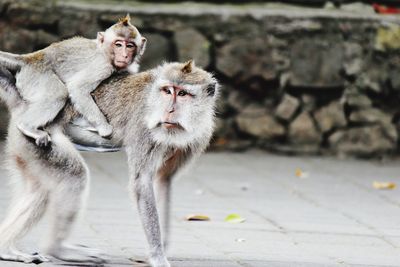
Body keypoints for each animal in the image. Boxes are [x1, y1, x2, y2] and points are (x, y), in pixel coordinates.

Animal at [0, 14, 147, 148]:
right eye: (118, 44)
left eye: (130, 46)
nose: (124, 55)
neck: (105, 51)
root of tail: (30, 58)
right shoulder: (103, 65)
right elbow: (78, 88)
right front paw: (104, 128)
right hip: (36, 74)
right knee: (58, 93)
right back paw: (27, 126)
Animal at [0, 60, 219, 267]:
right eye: (167, 91)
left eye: (182, 93)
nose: (169, 110)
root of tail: (23, 105)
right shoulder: (144, 127)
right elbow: (142, 183)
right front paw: (157, 255)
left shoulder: (199, 136)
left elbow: (163, 180)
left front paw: (161, 248)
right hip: (36, 138)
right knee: (74, 177)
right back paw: (57, 249)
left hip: (23, 145)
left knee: (40, 191)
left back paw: (7, 249)